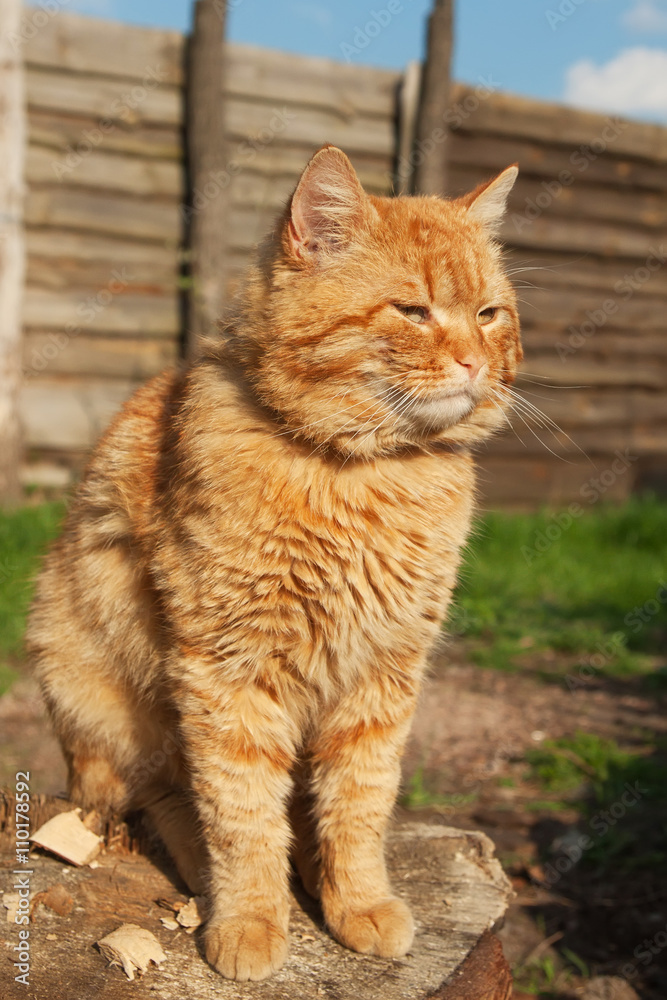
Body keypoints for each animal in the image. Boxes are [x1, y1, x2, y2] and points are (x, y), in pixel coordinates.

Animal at [27, 145, 520, 980]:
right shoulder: (226, 672)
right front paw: (252, 918)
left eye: (489, 314)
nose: (472, 361)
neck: (363, 477)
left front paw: (355, 901)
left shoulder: (383, 676)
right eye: (413, 311)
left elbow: (358, 805)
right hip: (97, 684)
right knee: (159, 794)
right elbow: (241, 813)